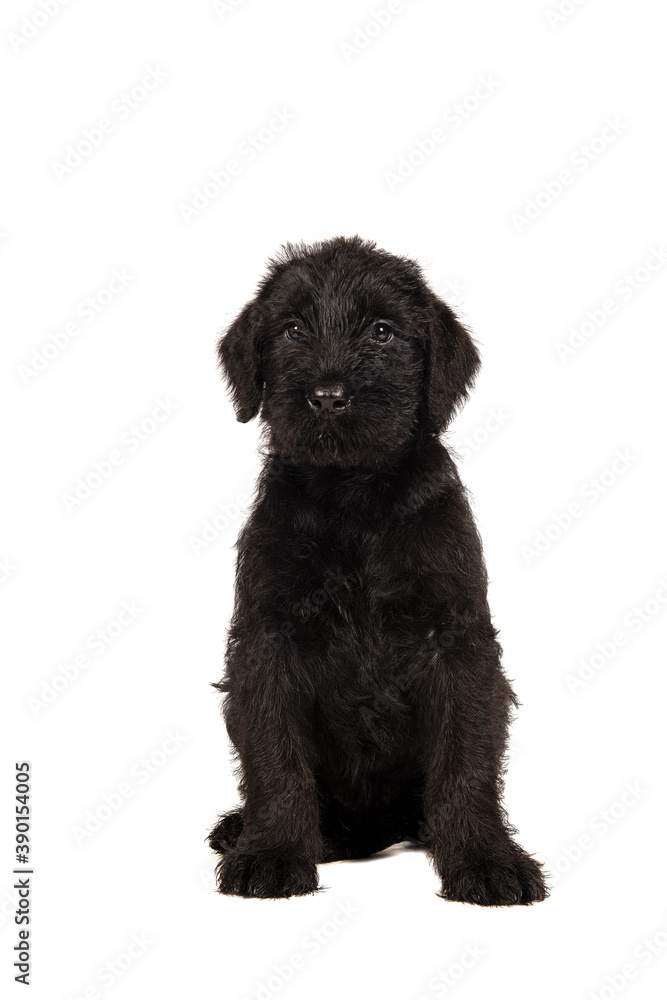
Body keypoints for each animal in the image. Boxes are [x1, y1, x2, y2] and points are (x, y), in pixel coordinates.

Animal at [210, 236, 548, 908]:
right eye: (291, 329)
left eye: (383, 332)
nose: (328, 396)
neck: (355, 498)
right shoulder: (267, 640)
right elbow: (274, 755)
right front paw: (272, 852)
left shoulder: (456, 641)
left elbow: (466, 762)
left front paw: (485, 858)